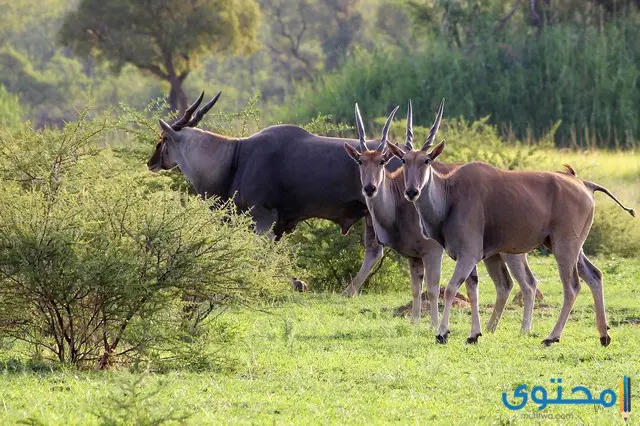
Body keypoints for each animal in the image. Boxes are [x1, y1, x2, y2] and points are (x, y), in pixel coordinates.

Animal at [146, 91, 396, 294]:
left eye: (163, 138)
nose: (151, 162)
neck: (235, 156)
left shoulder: (263, 218)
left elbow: (261, 254)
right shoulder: (276, 226)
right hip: (370, 215)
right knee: (374, 251)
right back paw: (348, 292)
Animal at [384, 99, 636, 346]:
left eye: (427, 160)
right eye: (404, 160)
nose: (412, 191)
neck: (450, 195)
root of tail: (585, 184)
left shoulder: (468, 254)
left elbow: (452, 288)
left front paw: (442, 333)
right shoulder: (472, 257)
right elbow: (472, 289)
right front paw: (474, 334)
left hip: (565, 246)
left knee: (572, 286)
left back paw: (552, 337)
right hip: (570, 246)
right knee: (594, 275)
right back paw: (603, 336)